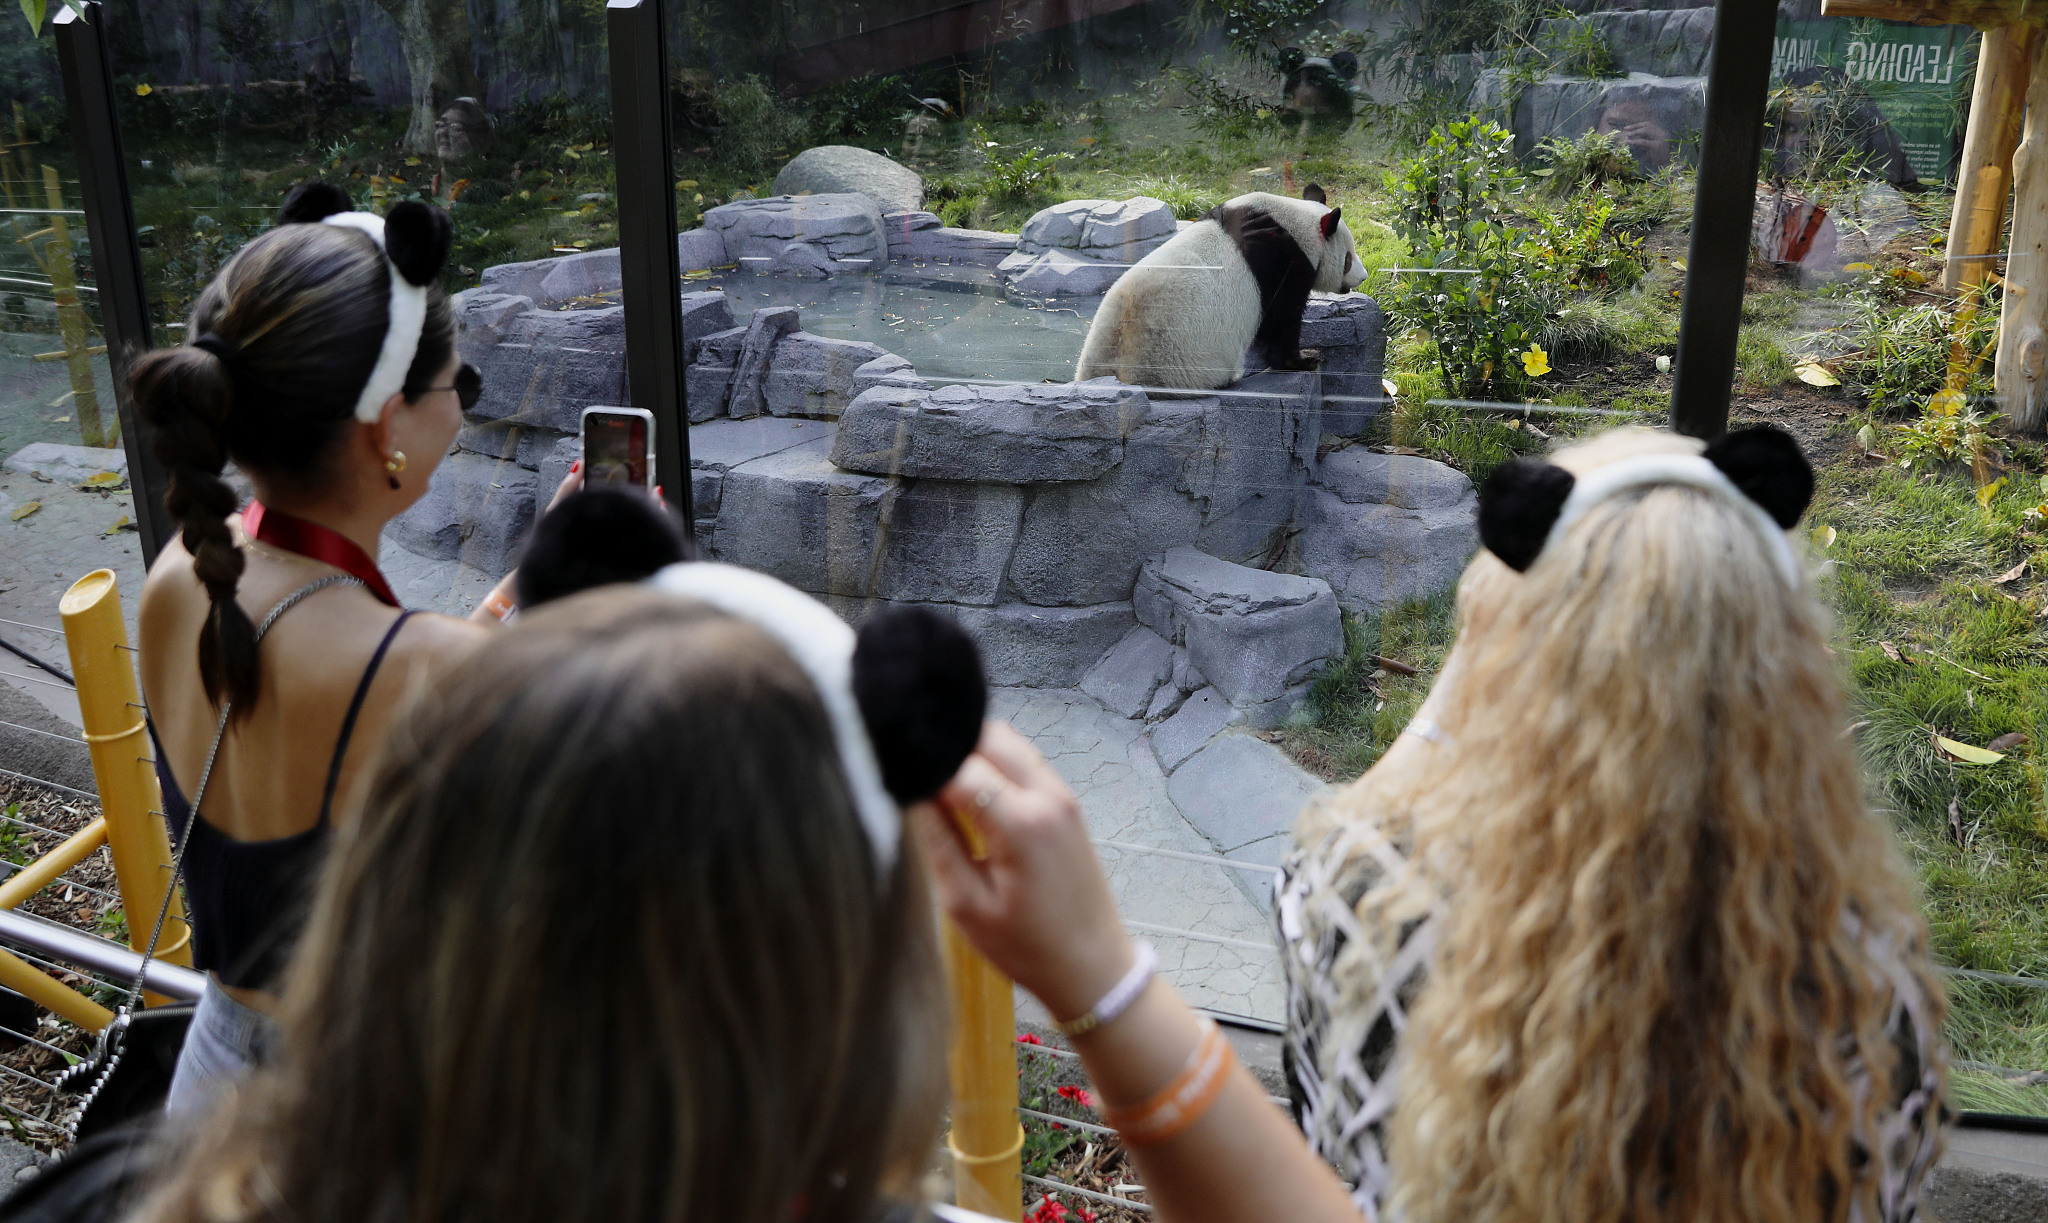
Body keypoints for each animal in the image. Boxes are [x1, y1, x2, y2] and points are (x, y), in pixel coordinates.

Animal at [1081, 186, 1368, 391]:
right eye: (1347, 259)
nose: (1363, 277)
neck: (1295, 223)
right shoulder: (1281, 261)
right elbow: (1282, 318)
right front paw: (1305, 359)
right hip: (1183, 361)